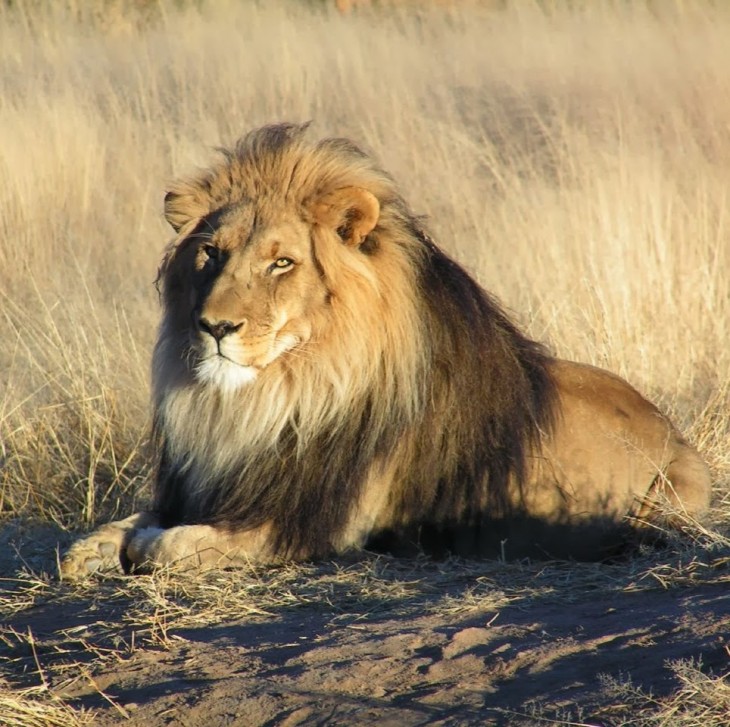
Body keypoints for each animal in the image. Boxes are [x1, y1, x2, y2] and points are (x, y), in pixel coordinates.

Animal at [62, 123, 712, 580]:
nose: (214, 327)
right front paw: (92, 549)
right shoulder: (209, 486)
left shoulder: (311, 524)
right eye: (211, 254)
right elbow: (126, 524)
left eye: (282, 262)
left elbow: (170, 545)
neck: (272, 398)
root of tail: (672, 428)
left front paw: (143, 546)